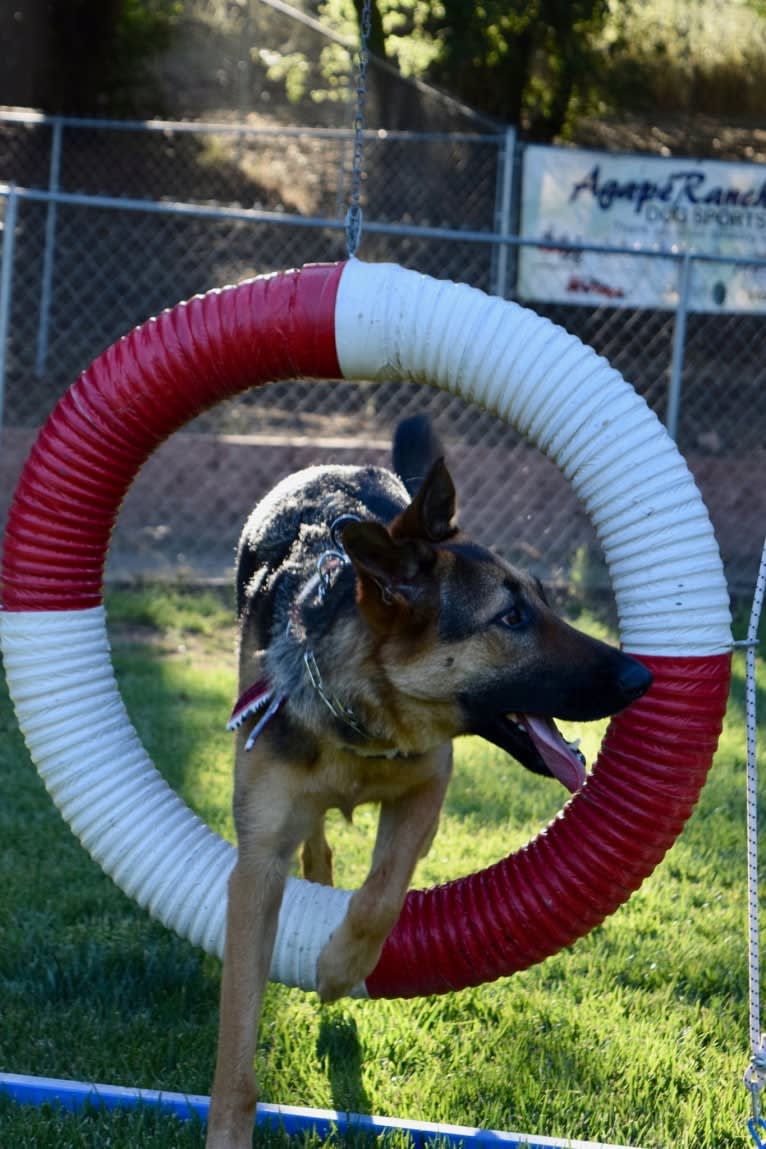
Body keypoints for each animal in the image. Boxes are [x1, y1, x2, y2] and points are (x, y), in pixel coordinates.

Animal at [206, 418, 652, 1144]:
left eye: (544, 601)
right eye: (510, 619)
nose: (642, 676)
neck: (362, 719)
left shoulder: (426, 790)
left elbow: (381, 895)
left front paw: (339, 969)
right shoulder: (255, 868)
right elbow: (238, 1049)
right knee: (315, 836)